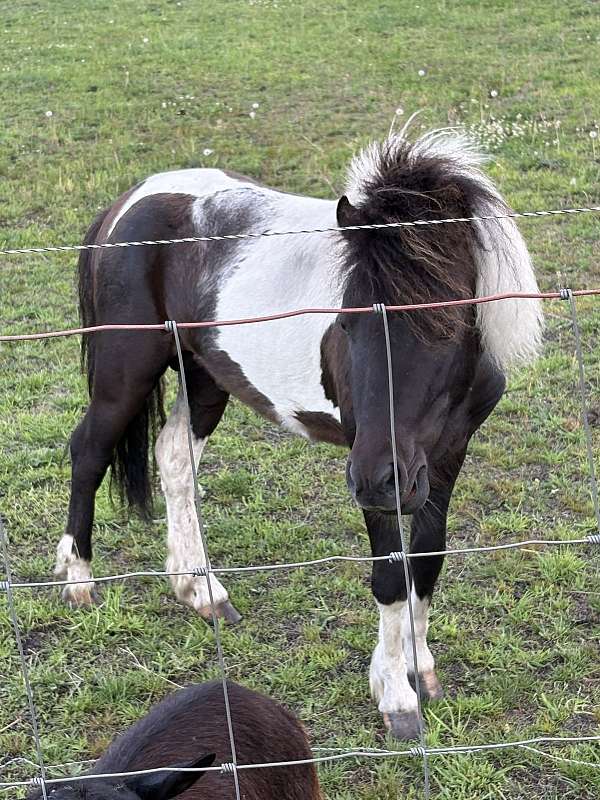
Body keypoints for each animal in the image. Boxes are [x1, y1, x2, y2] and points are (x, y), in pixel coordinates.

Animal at [55, 126, 543, 739]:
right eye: (346, 322)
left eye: (448, 321)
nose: (377, 479)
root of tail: (130, 201)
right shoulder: (375, 458)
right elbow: (391, 575)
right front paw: (395, 696)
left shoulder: (446, 454)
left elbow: (427, 563)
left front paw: (421, 669)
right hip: (126, 371)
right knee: (88, 451)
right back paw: (78, 579)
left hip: (205, 377)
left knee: (173, 460)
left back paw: (200, 591)